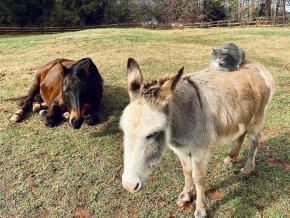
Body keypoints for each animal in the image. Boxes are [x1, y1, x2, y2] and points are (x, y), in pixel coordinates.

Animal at [120, 58, 274, 217]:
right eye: (123, 130)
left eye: (152, 134)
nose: (129, 185)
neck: (181, 116)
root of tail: (258, 66)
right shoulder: (180, 149)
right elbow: (187, 172)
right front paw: (186, 196)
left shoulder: (199, 151)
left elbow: (198, 178)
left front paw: (200, 208)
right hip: (242, 118)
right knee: (241, 135)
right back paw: (231, 157)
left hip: (256, 119)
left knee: (254, 143)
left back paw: (246, 170)